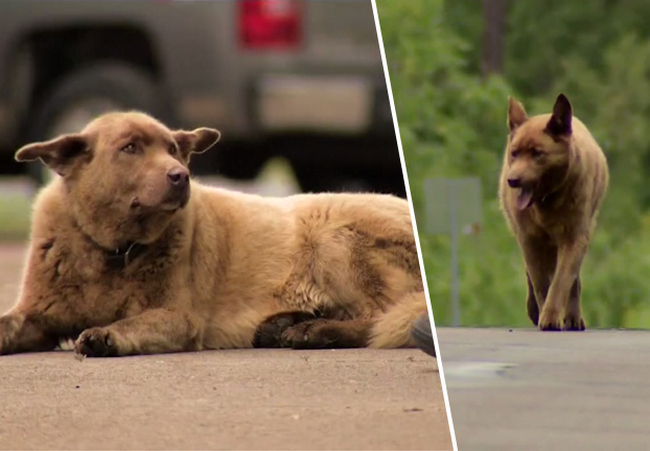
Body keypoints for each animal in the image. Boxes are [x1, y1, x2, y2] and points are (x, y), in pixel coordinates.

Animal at [0, 112, 428, 356]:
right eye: (130, 148)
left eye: (173, 149)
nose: (180, 176)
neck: (112, 251)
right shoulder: (35, 315)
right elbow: (8, 325)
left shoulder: (178, 316)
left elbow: (130, 324)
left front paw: (106, 336)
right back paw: (283, 326)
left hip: (334, 238)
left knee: (380, 317)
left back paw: (313, 331)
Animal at [498, 92, 604, 332]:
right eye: (515, 153)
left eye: (537, 153)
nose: (512, 180)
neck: (547, 200)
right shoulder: (530, 238)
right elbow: (539, 280)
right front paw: (542, 312)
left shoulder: (575, 236)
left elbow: (562, 279)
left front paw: (552, 315)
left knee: (573, 280)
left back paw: (572, 318)